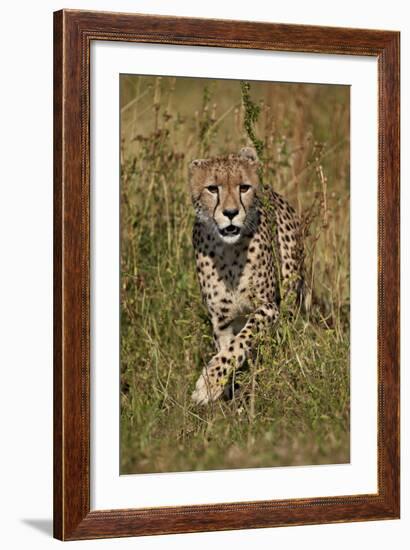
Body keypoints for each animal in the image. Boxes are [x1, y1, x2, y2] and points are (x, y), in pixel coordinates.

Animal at [189, 147, 304, 406]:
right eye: (213, 188)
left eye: (244, 187)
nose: (231, 213)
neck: (229, 251)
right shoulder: (221, 322)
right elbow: (228, 349)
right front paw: (222, 388)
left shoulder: (268, 307)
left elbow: (239, 343)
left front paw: (208, 383)